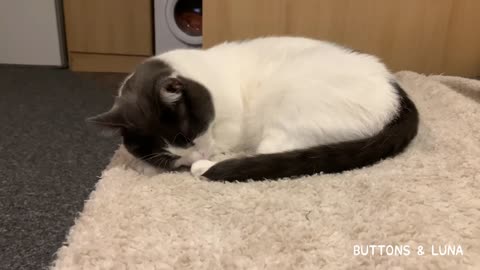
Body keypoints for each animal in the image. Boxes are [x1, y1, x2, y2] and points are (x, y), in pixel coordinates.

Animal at [88, 36, 418, 181]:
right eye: (176, 149)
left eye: (189, 137)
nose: (195, 155)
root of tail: (394, 92)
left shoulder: (228, 129)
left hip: (292, 97)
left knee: (272, 151)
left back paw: (207, 167)